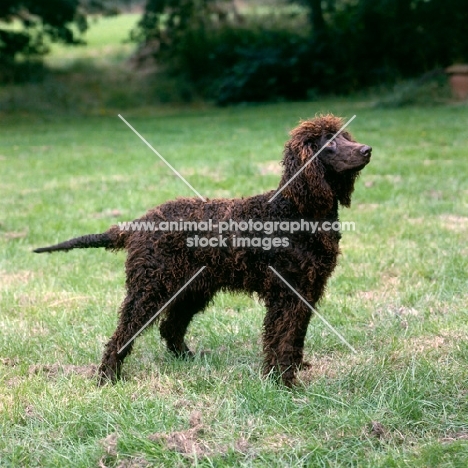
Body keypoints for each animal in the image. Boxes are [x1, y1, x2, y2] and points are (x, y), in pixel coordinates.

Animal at [33, 115, 372, 386]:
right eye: (328, 144)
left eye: (345, 136)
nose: (367, 150)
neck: (296, 209)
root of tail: (138, 224)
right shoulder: (286, 291)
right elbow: (283, 336)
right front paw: (283, 380)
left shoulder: (309, 288)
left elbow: (296, 334)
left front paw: (294, 368)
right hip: (150, 287)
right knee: (124, 332)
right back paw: (107, 377)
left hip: (192, 287)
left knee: (170, 326)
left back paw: (186, 358)